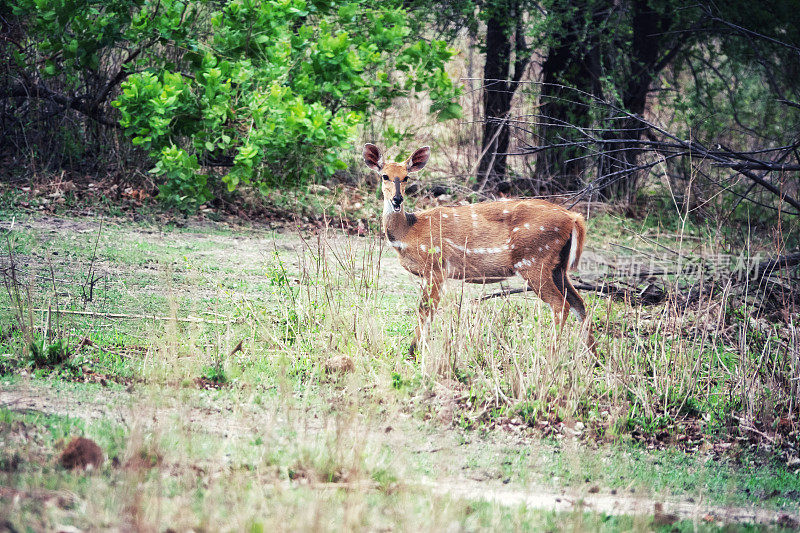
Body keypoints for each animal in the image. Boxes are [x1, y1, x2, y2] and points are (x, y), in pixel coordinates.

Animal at [366, 143, 596, 356]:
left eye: (406, 177)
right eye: (384, 175)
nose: (397, 199)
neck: (408, 232)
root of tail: (574, 219)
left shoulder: (436, 267)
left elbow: (426, 309)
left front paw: (413, 351)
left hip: (534, 261)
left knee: (561, 305)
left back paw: (551, 356)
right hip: (558, 267)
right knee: (579, 303)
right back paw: (592, 358)